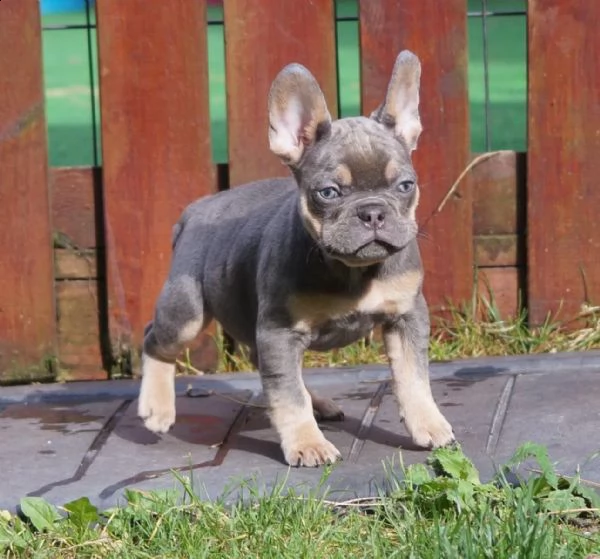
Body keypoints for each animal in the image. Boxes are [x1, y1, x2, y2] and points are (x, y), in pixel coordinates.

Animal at [137, 49, 454, 468]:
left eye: (405, 186)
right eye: (329, 192)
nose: (372, 212)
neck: (353, 272)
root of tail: (196, 209)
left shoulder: (406, 316)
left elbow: (414, 378)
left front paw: (428, 423)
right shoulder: (280, 330)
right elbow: (287, 395)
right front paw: (307, 443)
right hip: (186, 313)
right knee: (156, 340)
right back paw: (156, 408)